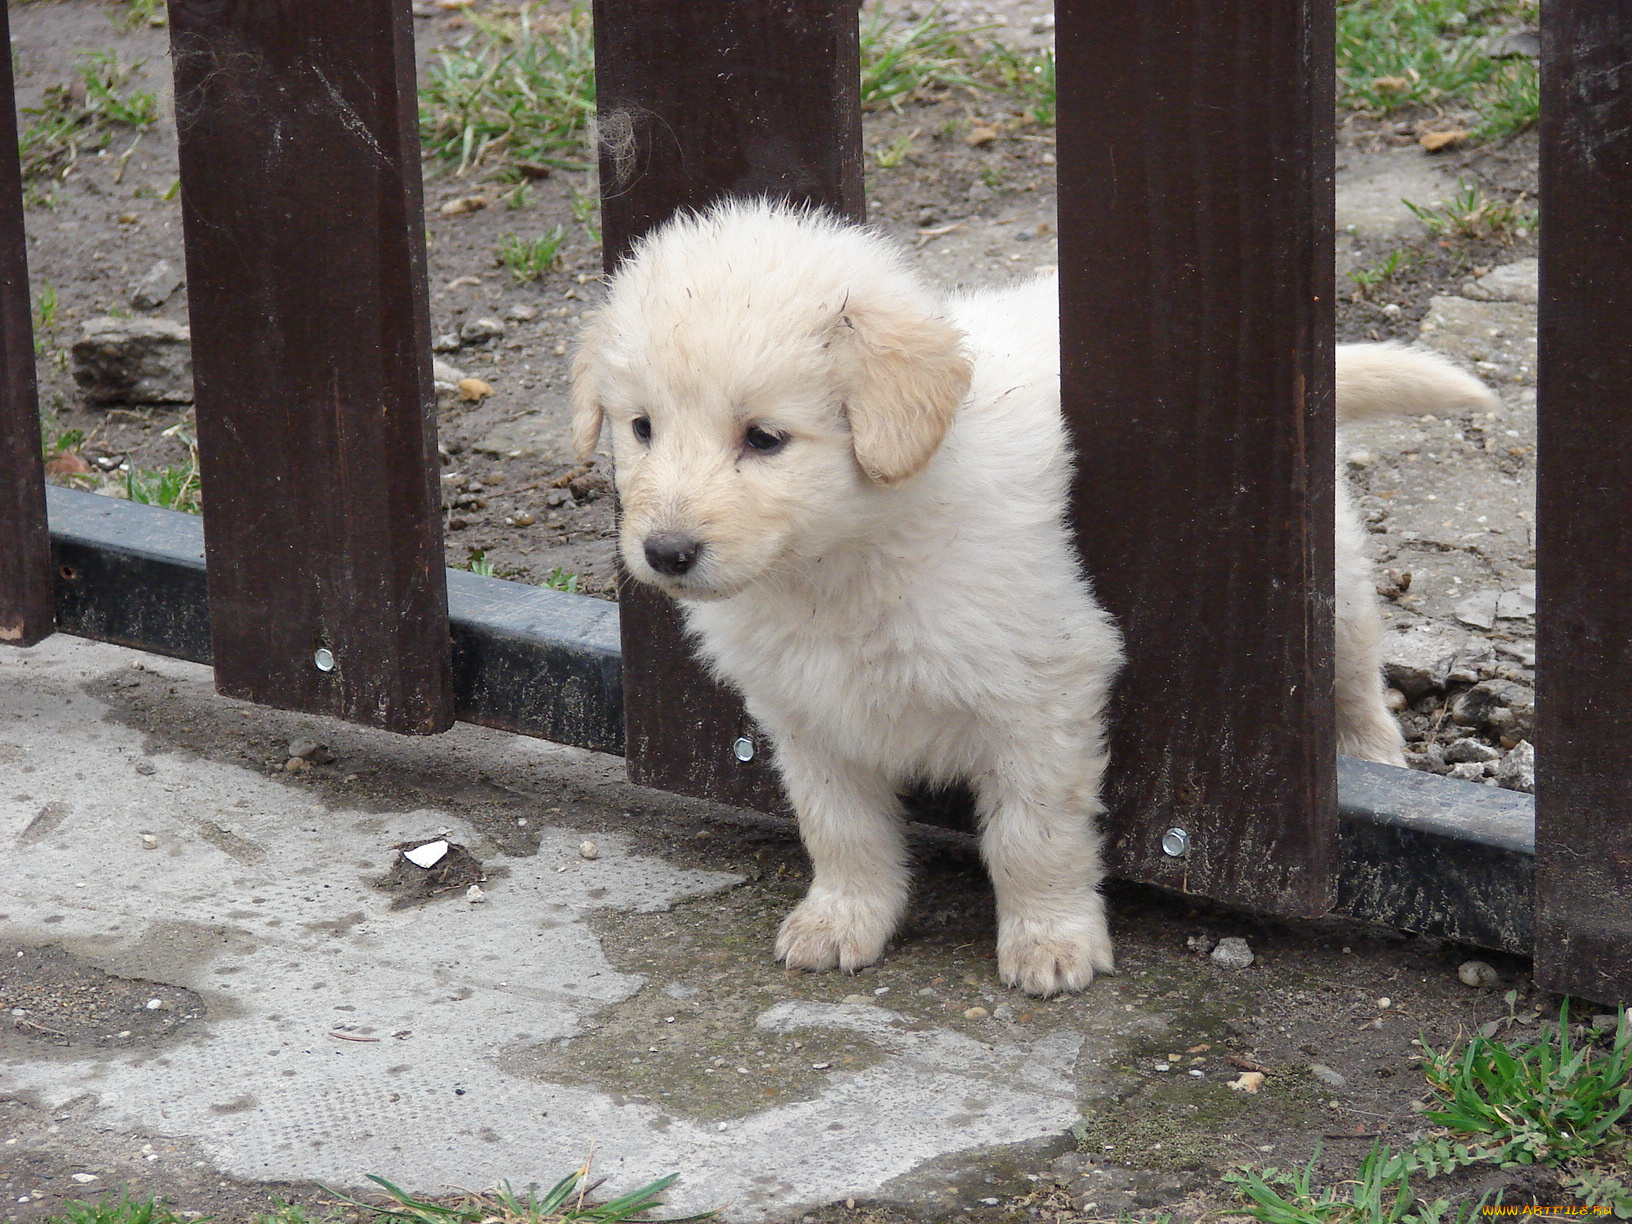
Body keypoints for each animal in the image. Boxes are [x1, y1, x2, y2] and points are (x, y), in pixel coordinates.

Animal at [571, 194, 1494, 998]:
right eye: (641, 427)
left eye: (764, 439)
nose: (666, 552)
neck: (842, 564)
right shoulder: (807, 717)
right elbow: (839, 829)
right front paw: (842, 920)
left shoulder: (1043, 695)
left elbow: (1032, 838)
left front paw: (1050, 939)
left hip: (1329, 582)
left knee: (1357, 673)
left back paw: (1374, 755)